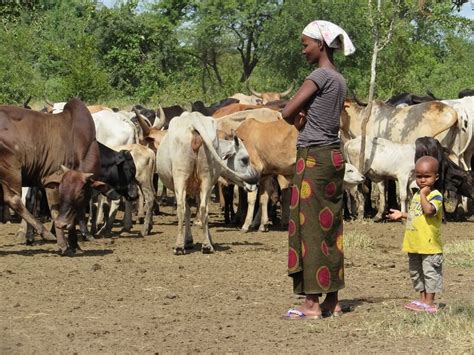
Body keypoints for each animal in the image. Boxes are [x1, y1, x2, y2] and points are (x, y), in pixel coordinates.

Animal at [0, 99, 103, 256]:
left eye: (79, 194)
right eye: (62, 191)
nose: (61, 224)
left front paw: (74, 244)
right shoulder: (51, 180)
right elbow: (55, 212)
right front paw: (64, 245)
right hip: (11, 169)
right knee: (13, 199)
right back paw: (45, 232)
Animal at [156, 112, 260, 254]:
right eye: (245, 159)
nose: (255, 182)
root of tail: (194, 122)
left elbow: (189, 211)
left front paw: (189, 240)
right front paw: (191, 240)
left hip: (184, 178)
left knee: (186, 209)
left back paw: (185, 246)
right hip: (204, 180)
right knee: (200, 208)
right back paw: (204, 245)